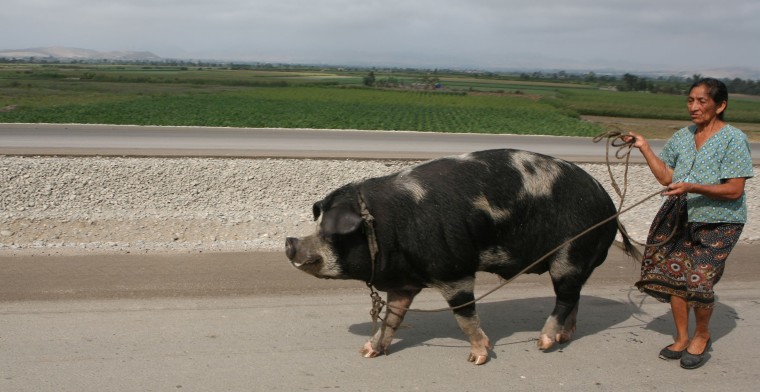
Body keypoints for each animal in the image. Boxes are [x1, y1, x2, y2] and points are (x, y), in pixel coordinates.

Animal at [286, 148, 640, 364]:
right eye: (317, 224)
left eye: (331, 230)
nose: (290, 242)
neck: (387, 228)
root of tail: (610, 206)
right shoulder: (403, 284)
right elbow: (392, 318)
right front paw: (368, 351)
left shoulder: (454, 272)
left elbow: (464, 317)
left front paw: (478, 358)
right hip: (576, 262)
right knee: (575, 296)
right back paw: (564, 337)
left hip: (569, 253)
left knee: (565, 297)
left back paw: (543, 343)